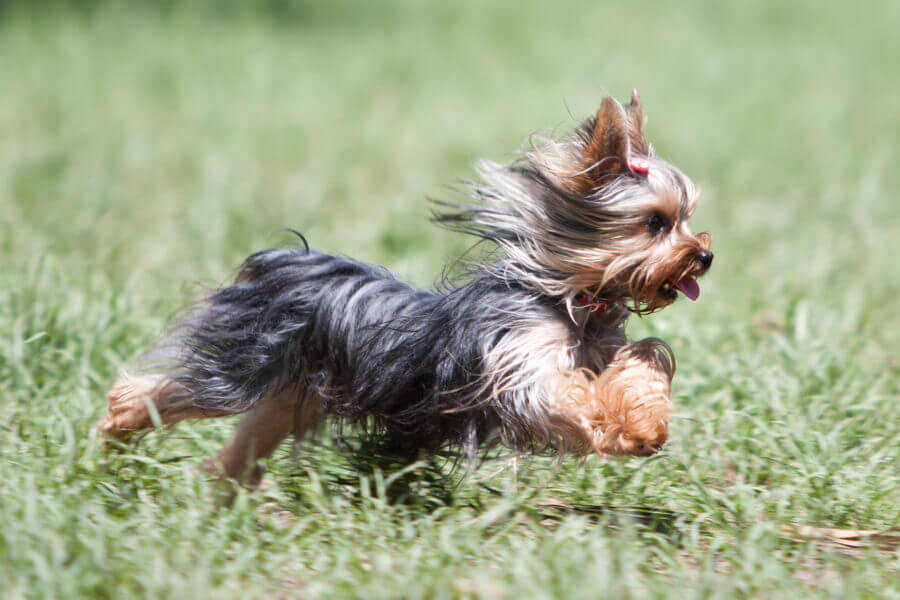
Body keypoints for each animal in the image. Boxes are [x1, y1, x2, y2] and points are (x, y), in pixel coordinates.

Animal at [98, 91, 712, 490]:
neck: (573, 300)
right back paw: (116, 429)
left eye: (688, 219)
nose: (705, 256)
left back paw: (220, 491)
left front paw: (645, 427)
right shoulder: (517, 367)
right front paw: (623, 431)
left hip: (293, 393)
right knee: (166, 391)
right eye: (655, 223)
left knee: (249, 436)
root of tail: (292, 262)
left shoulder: (600, 349)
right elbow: (569, 397)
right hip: (243, 365)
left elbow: (640, 365)